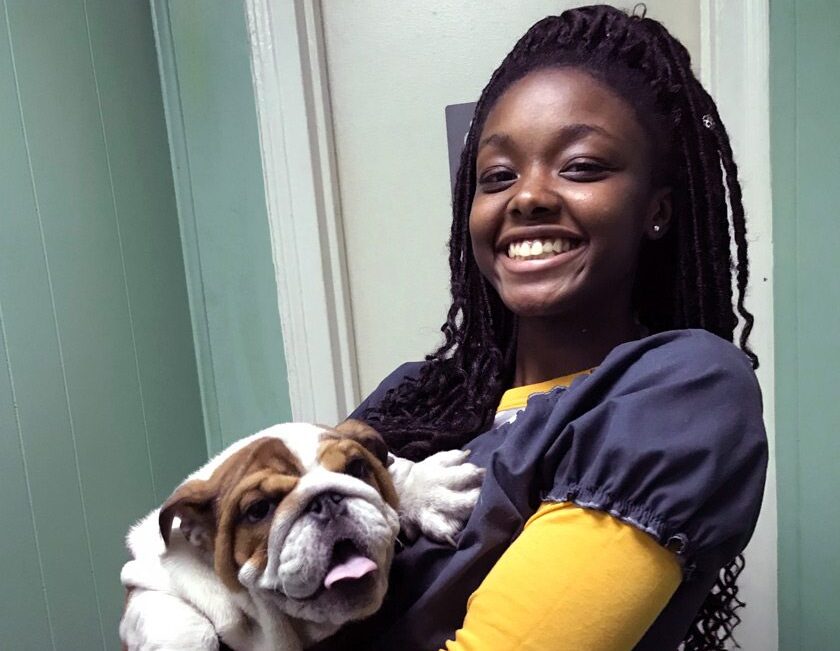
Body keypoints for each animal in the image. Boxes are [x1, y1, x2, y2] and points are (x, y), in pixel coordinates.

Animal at [120, 420, 482, 648]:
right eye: (259, 509)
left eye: (356, 468)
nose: (326, 500)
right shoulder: (147, 580)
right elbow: (188, 628)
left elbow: (394, 470)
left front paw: (428, 488)